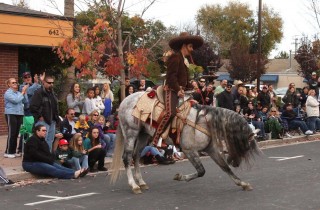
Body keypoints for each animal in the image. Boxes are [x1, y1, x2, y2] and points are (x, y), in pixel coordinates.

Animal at [110, 91, 260, 193]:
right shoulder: (189, 151)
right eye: (245, 146)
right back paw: (134, 185)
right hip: (131, 133)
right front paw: (180, 177)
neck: (204, 122)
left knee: (135, 156)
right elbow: (201, 171)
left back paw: (141, 182)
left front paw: (243, 184)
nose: (236, 163)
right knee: (127, 157)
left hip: (143, 135)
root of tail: (124, 100)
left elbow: (224, 167)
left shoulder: (211, 149)